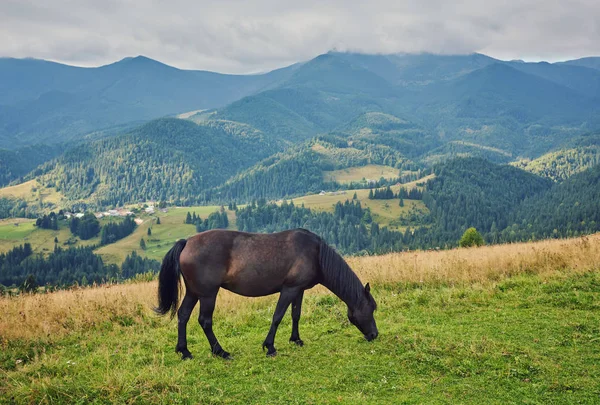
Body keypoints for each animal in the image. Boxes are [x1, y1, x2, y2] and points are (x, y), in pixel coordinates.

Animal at [156, 226, 380, 358]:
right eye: (371, 309)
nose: (374, 334)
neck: (316, 254)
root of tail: (187, 242)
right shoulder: (289, 290)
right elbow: (278, 316)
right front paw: (270, 347)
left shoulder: (298, 290)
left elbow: (296, 315)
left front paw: (296, 339)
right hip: (208, 294)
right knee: (204, 321)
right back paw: (220, 351)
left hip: (194, 292)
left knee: (183, 315)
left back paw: (184, 351)